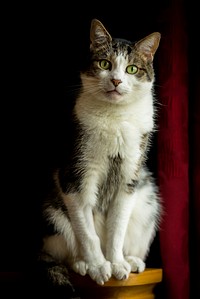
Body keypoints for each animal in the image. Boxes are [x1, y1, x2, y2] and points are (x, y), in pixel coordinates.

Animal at [37, 18, 161, 298]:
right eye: (105, 64)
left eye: (131, 68)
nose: (116, 81)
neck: (115, 117)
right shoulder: (76, 175)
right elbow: (86, 229)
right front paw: (97, 266)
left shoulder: (130, 177)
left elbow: (117, 227)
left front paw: (116, 264)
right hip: (53, 215)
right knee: (62, 253)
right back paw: (82, 264)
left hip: (147, 201)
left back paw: (132, 261)